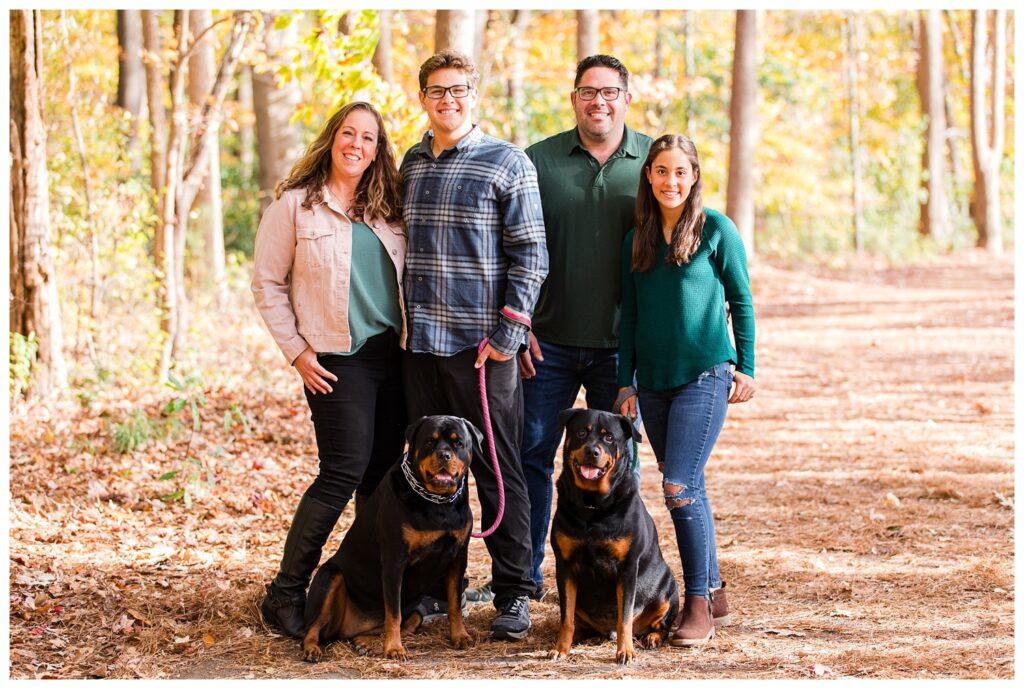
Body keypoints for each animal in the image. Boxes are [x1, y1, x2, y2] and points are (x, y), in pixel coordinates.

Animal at [299, 413, 483, 659]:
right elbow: (393, 612)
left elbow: (454, 604)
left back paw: (365, 643)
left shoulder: (458, 557)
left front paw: (460, 636)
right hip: (330, 576)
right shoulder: (395, 560)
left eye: (458, 443)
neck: (438, 503)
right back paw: (312, 648)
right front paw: (394, 649)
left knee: (389, 627)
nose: (444, 454)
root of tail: (346, 628)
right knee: (313, 626)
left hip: (415, 613)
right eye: (429, 442)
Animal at [552, 405, 679, 663]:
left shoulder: (627, 568)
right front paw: (561, 648)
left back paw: (652, 637)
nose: (592, 451)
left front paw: (625, 651)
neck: (593, 505)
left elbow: (625, 617)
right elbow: (566, 617)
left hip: (668, 590)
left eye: (609, 437)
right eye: (581, 432)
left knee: (661, 624)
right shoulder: (565, 566)